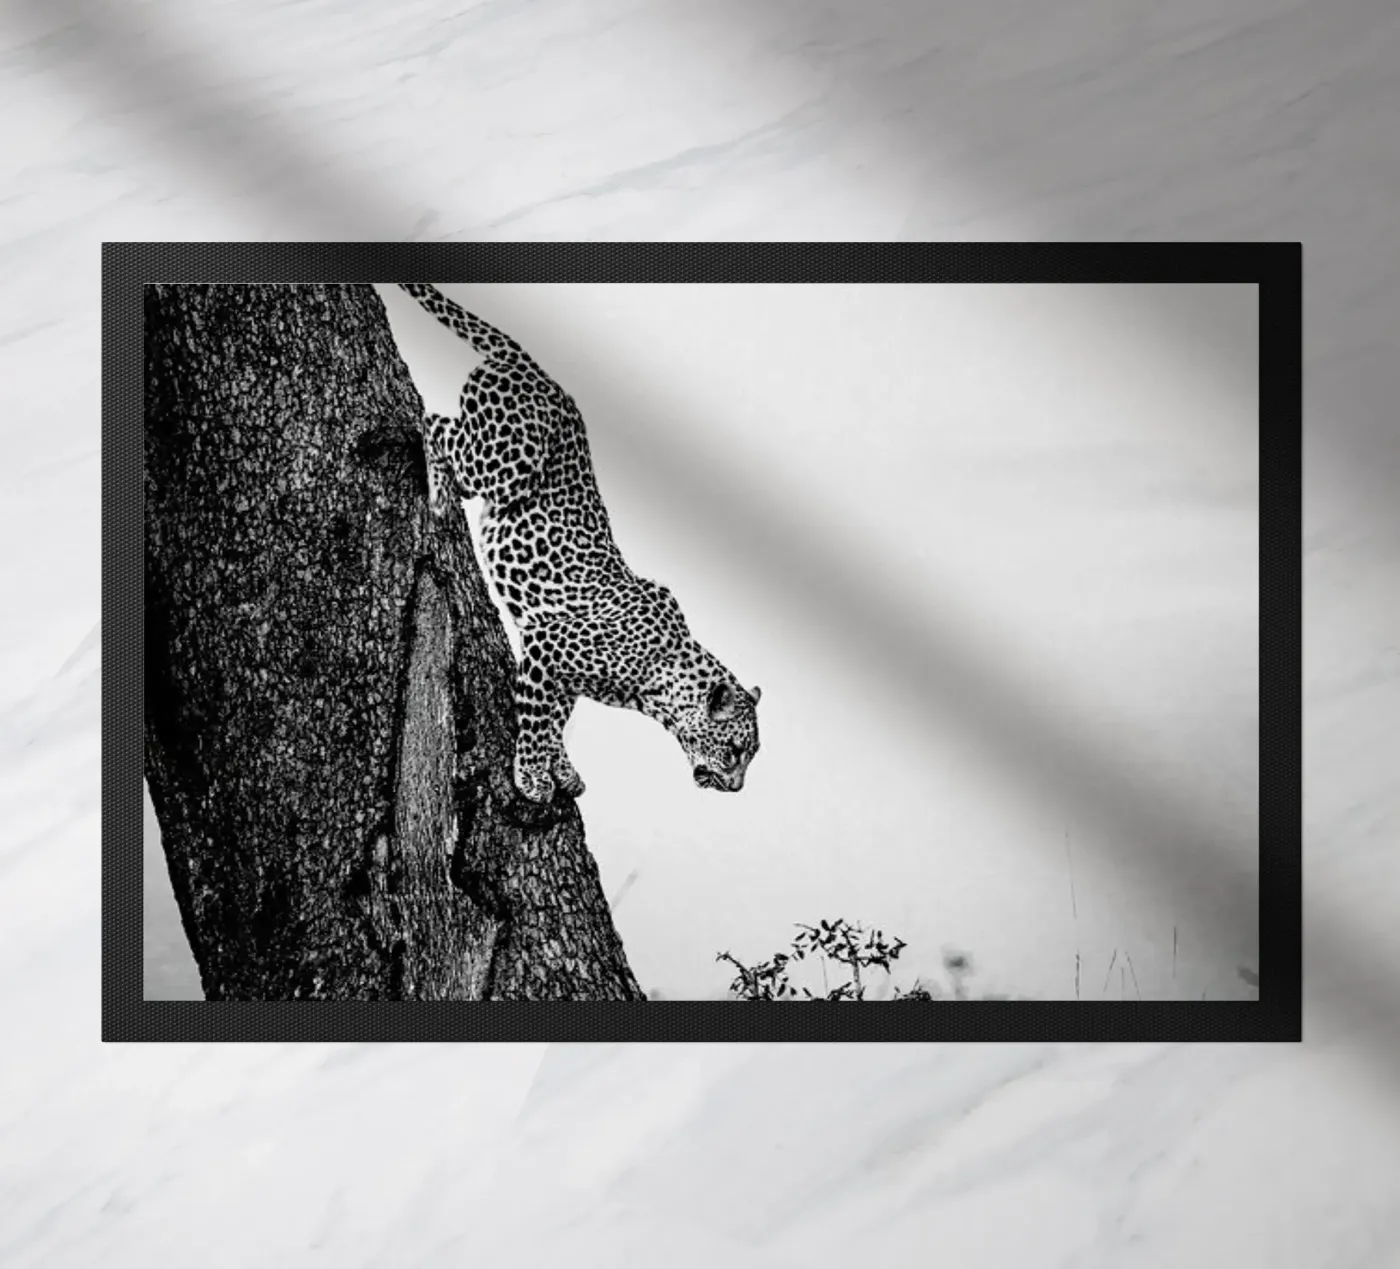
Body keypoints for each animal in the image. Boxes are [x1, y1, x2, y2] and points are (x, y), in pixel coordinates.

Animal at [397, 283, 761, 804]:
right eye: (734, 751)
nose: (735, 789)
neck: (660, 679)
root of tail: (535, 368)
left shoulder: (558, 669)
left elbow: (553, 720)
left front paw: (560, 768)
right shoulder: (546, 644)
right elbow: (534, 721)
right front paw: (531, 775)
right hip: (506, 462)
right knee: (435, 422)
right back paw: (441, 498)